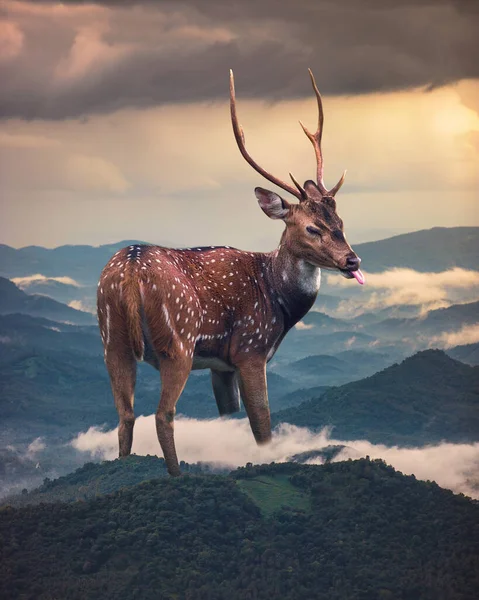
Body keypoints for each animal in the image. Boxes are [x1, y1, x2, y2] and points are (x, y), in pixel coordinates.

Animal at [98, 69, 368, 474]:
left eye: (340, 222)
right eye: (311, 228)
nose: (352, 261)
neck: (277, 301)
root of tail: (129, 272)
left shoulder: (221, 366)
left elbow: (228, 421)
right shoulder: (250, 349)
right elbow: (262, 426)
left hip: (110, 338)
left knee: (124, 415)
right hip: (178, 342)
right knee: (162, 414)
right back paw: (178, 475)